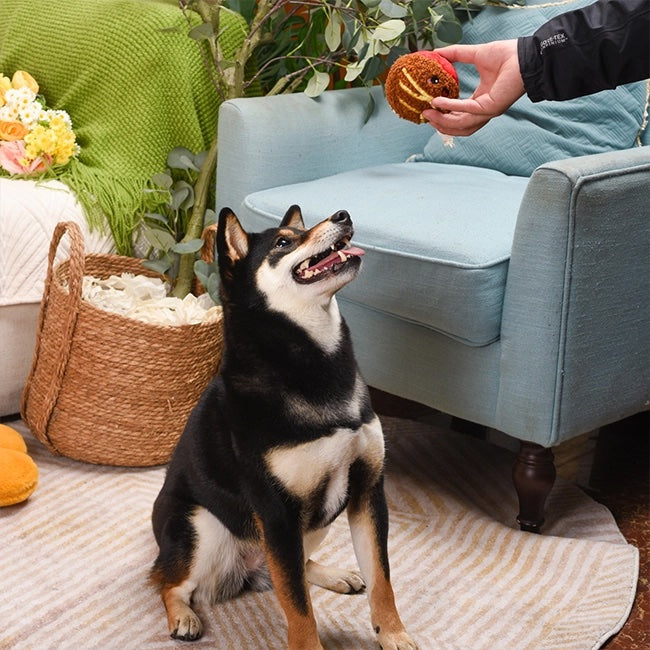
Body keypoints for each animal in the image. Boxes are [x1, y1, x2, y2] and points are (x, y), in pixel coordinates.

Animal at [151, 204, 416, 648]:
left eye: (297, 231)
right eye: (282, 243)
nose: (343, 215)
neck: (314, 360)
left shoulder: (367, 490)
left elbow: (382, 579)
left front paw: (393, 633)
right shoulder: (278, 513)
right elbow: (298, 608)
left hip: (318, 520)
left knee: (296, 567)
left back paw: (336, 575)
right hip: (202, 527)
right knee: (165, 581)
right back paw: (183, 616)